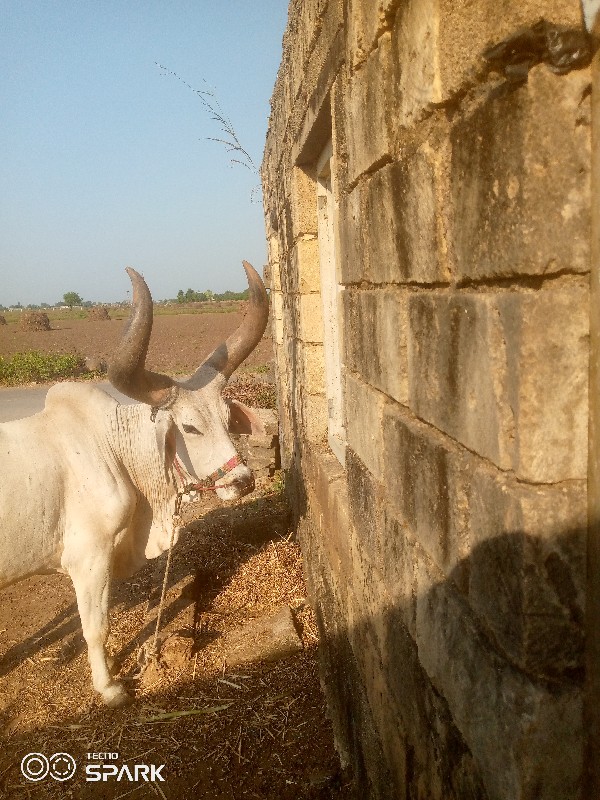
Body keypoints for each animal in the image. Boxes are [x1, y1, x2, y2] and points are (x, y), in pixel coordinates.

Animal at [0, 262, 268, 708]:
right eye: (190, 428)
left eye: (228, 419)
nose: (242, 481)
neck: (112, 448)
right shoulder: (88, 558)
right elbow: (96, 627)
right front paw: (109, 687)